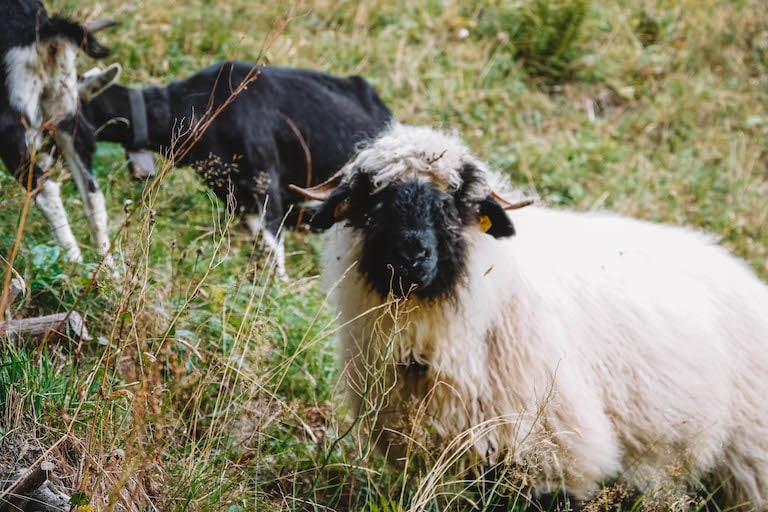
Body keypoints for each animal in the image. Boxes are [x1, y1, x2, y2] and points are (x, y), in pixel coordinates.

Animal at [1, 0, 113, 263]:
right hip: (65, 107)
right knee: (91, 190)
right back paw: (106, 265)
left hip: (13, 119)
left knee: (44, 186)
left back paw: (72, 258)